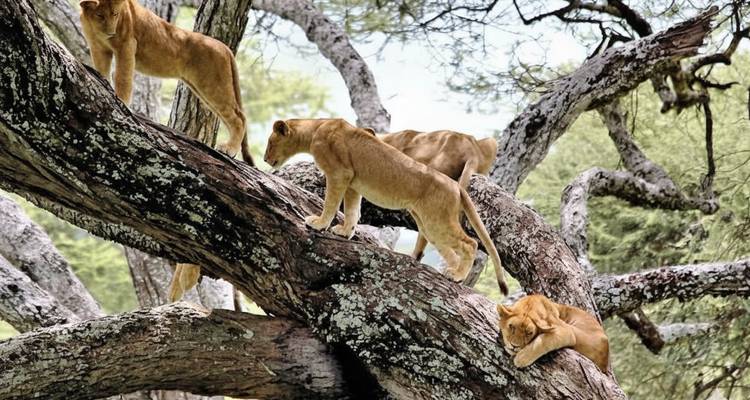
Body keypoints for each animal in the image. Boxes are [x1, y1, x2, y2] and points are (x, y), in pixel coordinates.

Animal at [79, 0, 252, 163]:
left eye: (115, 14)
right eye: (100, 15)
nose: (110, 32)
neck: (94, 25)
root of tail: (225, 48)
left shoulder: (126, 45)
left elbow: (123, 78)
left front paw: (121, 102)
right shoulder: (99, 48)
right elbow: (102, 71)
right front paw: (103, 85)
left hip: (213, 85)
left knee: (239, 118)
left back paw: (229, 149)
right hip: (203, 89)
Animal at [263, 118, 508, 295]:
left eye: (270, 143)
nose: (265, 159)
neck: (315, 128)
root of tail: (456, 186)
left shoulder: (339, 173)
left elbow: (331, 203)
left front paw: (319, 224)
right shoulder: (352, 182)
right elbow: (351, 210)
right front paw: (345, 232)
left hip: (437, 221)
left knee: (470, 243)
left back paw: (457, 275)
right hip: (429, 224)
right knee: (451, 250)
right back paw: (452, 274)